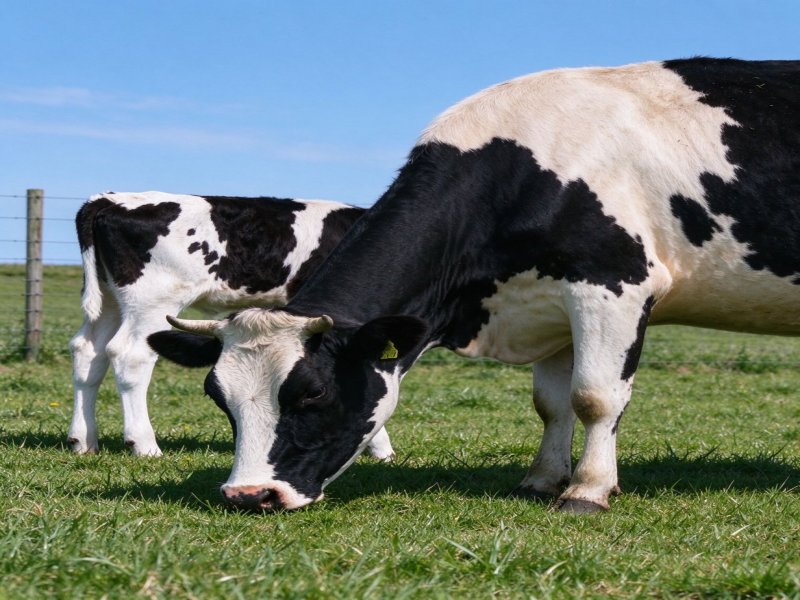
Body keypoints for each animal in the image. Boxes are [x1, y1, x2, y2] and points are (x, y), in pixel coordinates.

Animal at [69, 191, 395, 459]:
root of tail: (108, 200)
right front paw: (379, 445)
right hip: (153, 300)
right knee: (130, 356)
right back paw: (144, 445)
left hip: (109, 299)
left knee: (89, 352)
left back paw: (83, 440)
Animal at [148, 58, 800, 513]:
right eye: (218, 397)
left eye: (311, 392)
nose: (248, 495)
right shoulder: (548, 301)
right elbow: (551, 402)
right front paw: (541, 479)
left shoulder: (612, 283)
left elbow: (594, 396)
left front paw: (586, 491)